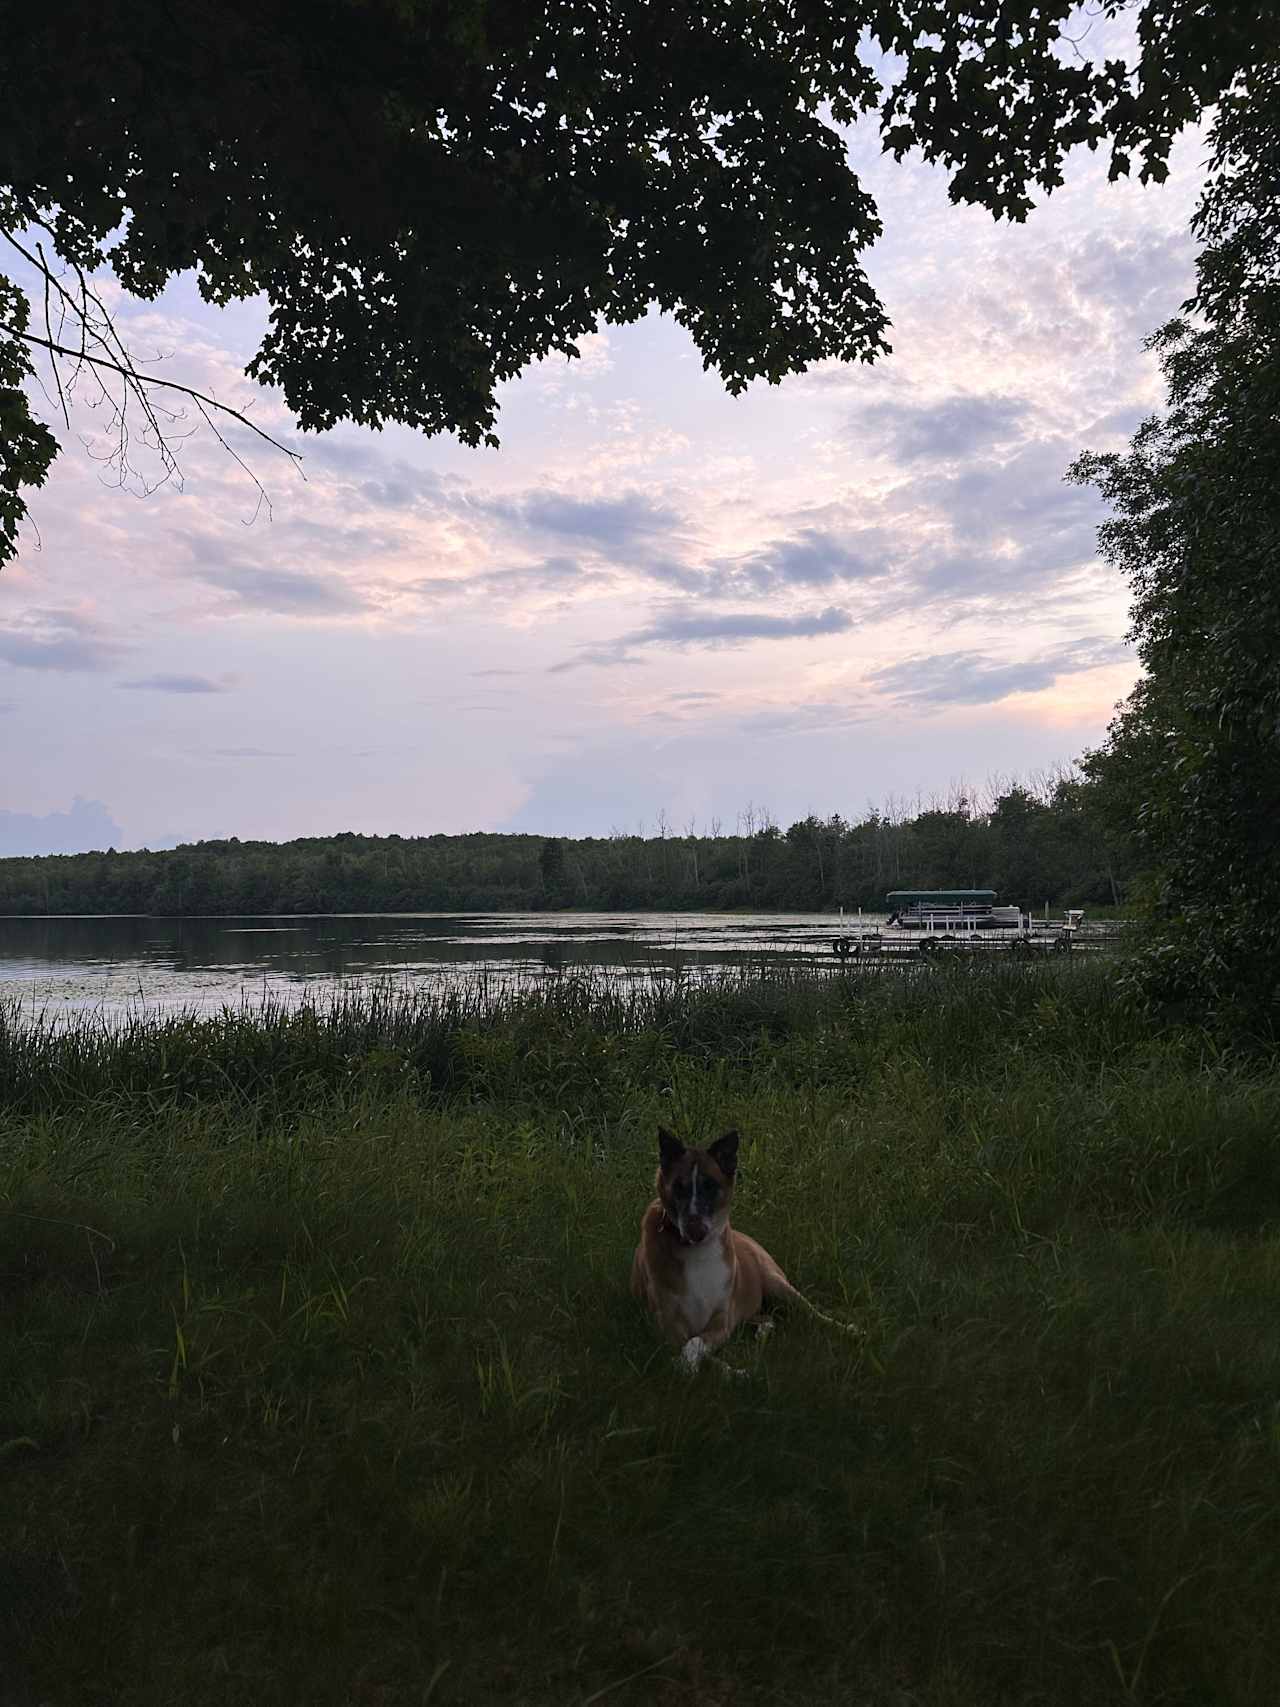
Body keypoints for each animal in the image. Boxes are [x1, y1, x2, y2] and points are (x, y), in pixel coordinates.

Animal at [631, 1126, 822, 1379]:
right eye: (679, 1186)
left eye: (710, 1185)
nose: (695, 1230)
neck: (697, 1252)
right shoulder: (668, 1326)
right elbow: (698, 1350)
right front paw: (730, 1372)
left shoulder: (721, 1323)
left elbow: (695, 1343)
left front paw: (690, 1366)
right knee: (766, 1317)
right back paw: (762, 1333)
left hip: (776, 1283)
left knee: (813, 1312)